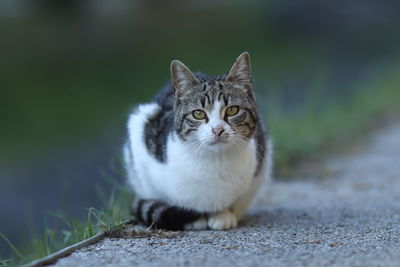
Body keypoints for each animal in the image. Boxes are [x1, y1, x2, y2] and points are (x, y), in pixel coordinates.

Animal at [122, 52, 272, 230]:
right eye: (198, 114)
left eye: (232, 110)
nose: (217, 130)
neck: (216, 161)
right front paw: (195, 218)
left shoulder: (259, 163)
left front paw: (222, 215)